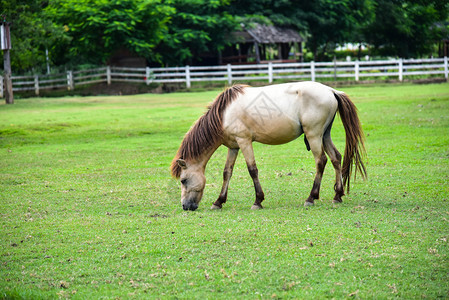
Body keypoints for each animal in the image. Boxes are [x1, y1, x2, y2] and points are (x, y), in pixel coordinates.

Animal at [170, 81, 366, 210]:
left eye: (183, 180)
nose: (185, 206)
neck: (224, 113)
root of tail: (331, 90)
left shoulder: (244, 141)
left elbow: (252, 170)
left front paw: (258, 200)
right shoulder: (233, 146)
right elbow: (227, 173)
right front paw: (219, 201)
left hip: (314, 135)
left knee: (321, 161)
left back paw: (311, 197)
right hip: (324, 135)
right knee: (335, 158)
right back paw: (337, 195)